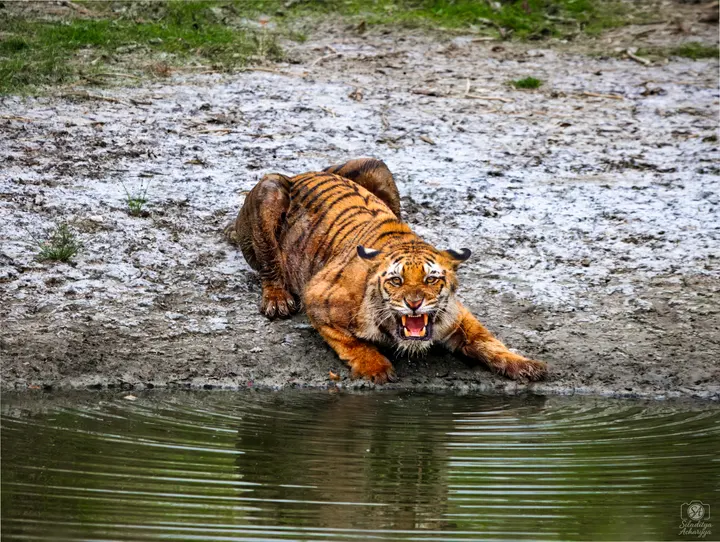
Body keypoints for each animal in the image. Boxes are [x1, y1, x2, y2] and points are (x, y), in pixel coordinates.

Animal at [224, 158, 547, 384]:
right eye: (396, 280)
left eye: (432, 279)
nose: (415, 303)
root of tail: (303, 173)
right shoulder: (316, 298)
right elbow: (350, 342)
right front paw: (375, 368)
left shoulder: (456, 316)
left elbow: (485, 339)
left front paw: (525, 364)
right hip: (270, 189)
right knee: (269, 265)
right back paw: (277, 300)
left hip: (377, 167)